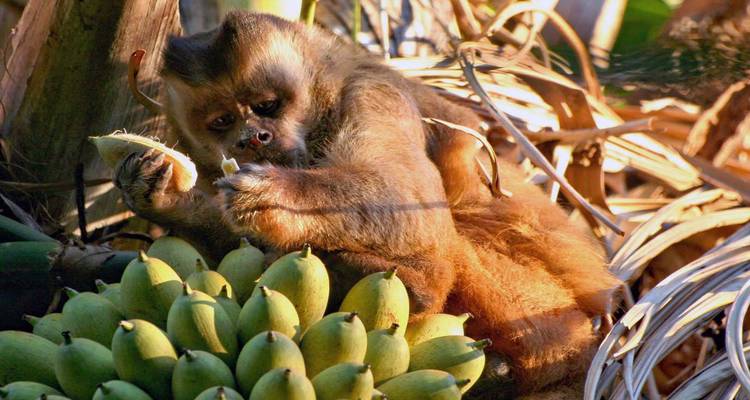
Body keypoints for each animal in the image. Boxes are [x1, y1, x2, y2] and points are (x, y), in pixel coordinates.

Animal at [114, 11, 620, 397]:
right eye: (222, 121)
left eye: (268, 105)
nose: (253, 137)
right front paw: (169, 200)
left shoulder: (373, 92)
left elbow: (407, 201)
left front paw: (276, 197)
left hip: (543, 309)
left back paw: (413, 286)